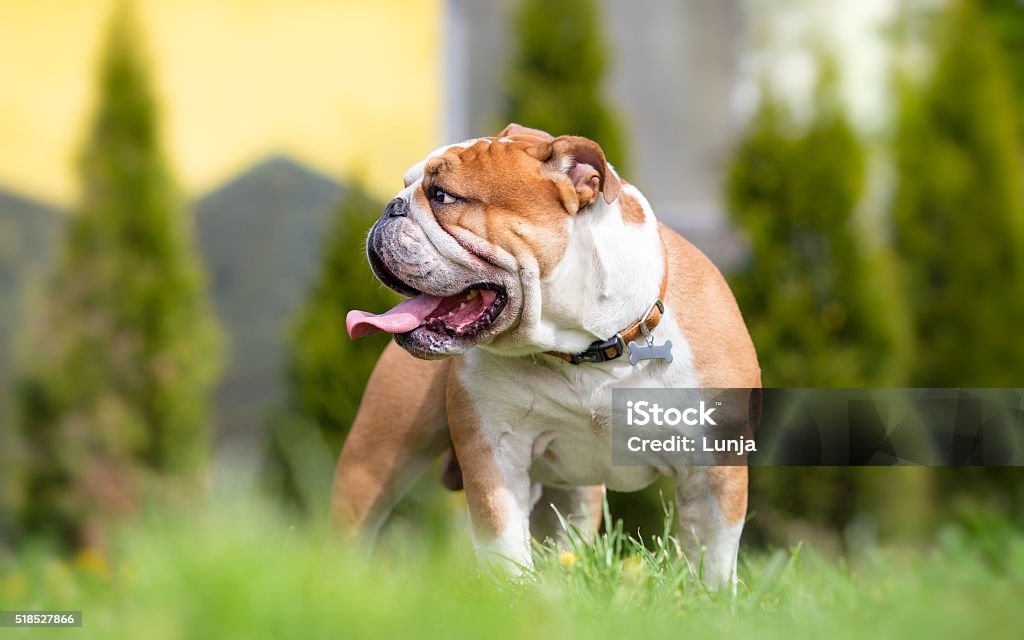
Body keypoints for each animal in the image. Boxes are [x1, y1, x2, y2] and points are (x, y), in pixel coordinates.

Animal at [331, 123, 757, 589]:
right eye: (405, 185)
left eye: (442, 195)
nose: (391, 207)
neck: (590, 349)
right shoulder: (494, 450)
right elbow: (504, 542)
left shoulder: (714, 469)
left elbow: (713, 555)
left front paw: (711, 597)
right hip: (375, 455)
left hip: (572, 495)